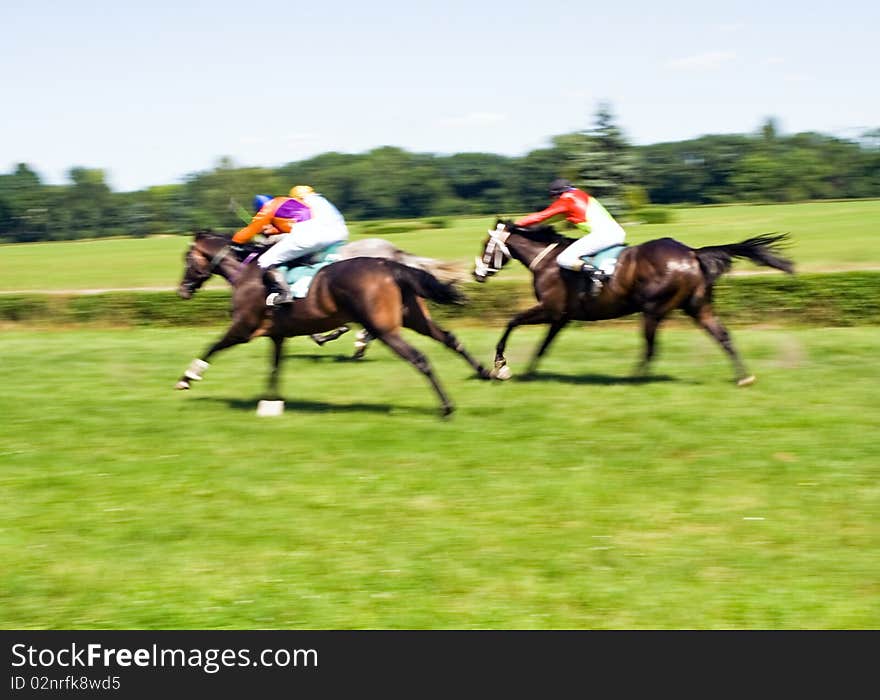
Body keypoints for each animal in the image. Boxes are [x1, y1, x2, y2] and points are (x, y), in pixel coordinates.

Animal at [175, 232, 492, 416]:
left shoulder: (243, 328)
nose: (182, 291)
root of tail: (390, 264)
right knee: (450, 338)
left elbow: (213, 346)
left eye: (187, 258)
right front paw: (270, 402)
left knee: (419, 358)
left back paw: (447, 406)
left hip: (384, 327)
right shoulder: (278, 334)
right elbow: (275, 368)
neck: (248, 272)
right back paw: (487, 372)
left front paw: (188, 377)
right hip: (414, 317)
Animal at [474, 219, 796, 382]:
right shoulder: (561, 317)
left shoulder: (550, 309)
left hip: (653, 308)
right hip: (697, 306)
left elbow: (512, 322)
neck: (548, 261)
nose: (476, 273)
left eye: (486, 245)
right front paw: (529, 371)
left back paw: (632, 379)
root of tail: (692, 253)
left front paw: (501, 365)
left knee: (651, 347)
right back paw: (743, 377)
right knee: (722, 335)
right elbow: (543, 345)